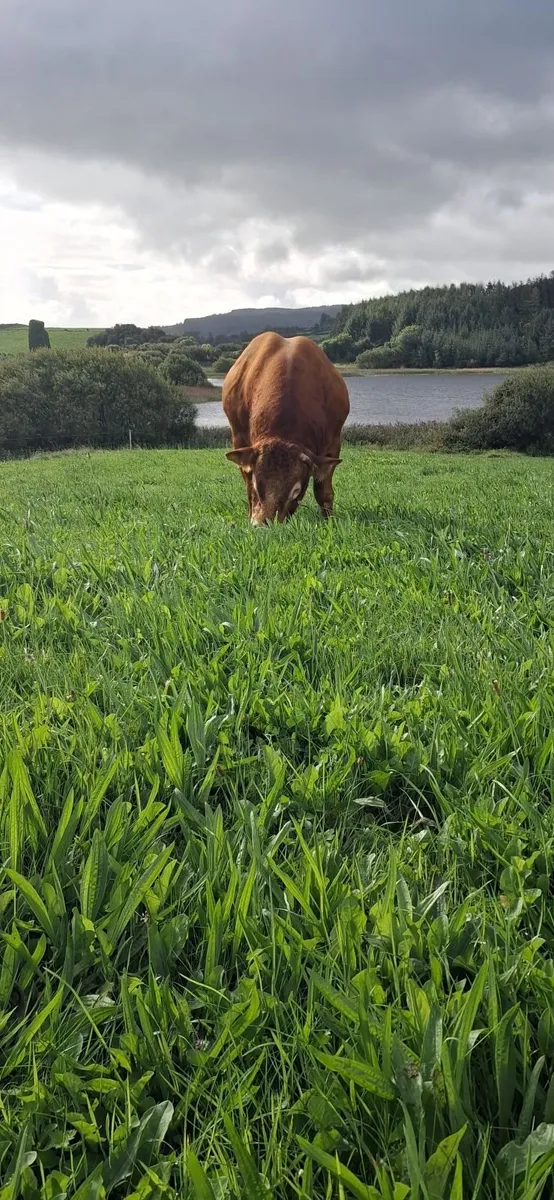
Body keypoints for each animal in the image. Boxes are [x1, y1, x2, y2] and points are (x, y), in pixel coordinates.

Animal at [222, 332, 350, 525]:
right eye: (258, 485)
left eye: (296, 491)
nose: (263, 523)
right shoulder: (239, 439)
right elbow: (248, 487)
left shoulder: (333, 441)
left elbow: (323, 491)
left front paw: (329, 521)